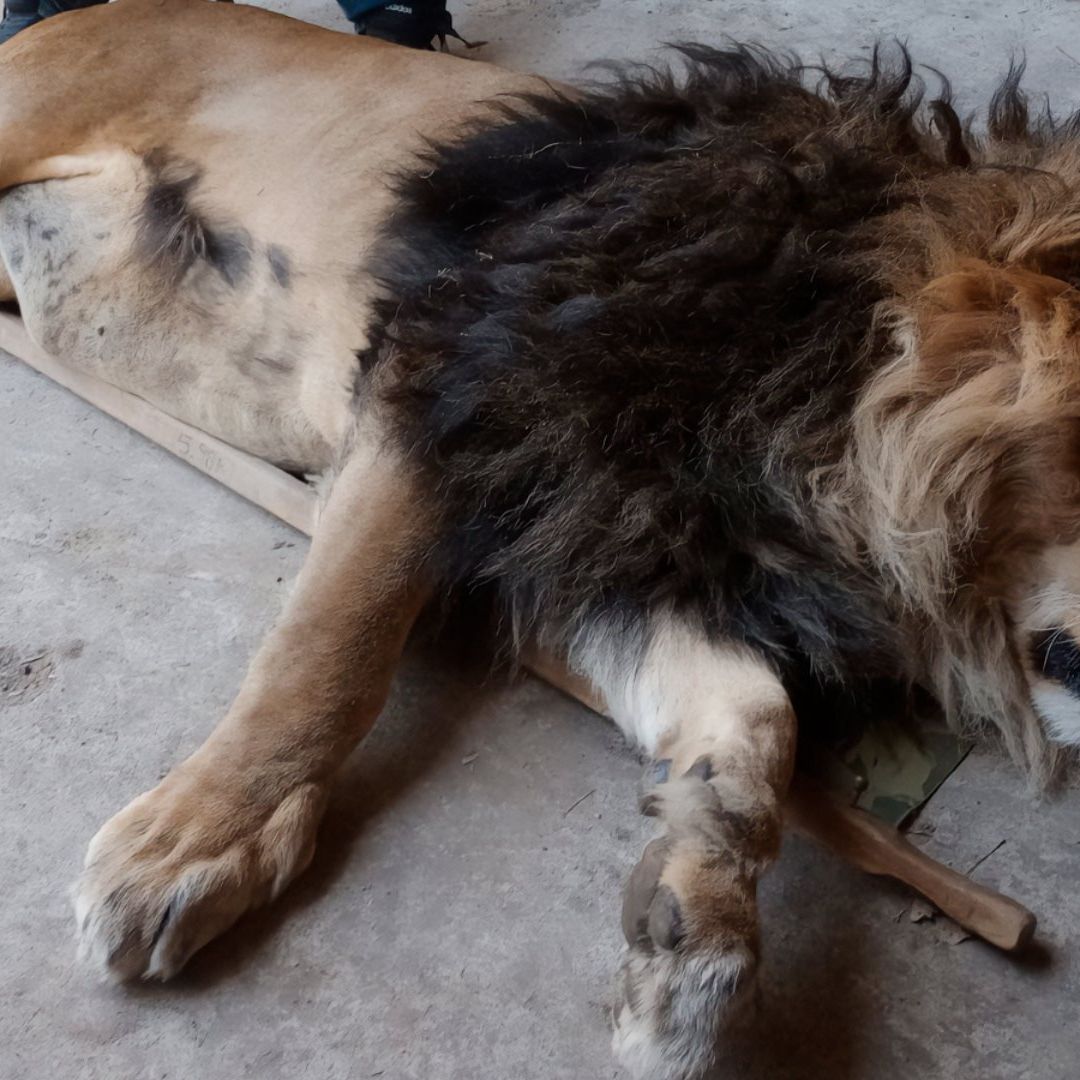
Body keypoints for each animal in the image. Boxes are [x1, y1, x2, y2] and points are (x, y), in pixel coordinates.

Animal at [7, 1, 1080, 1075]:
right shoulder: (456, 376)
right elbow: (333, 646)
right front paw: (193, 846)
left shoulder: (622, 534)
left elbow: (755, 720)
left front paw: (692, 950)